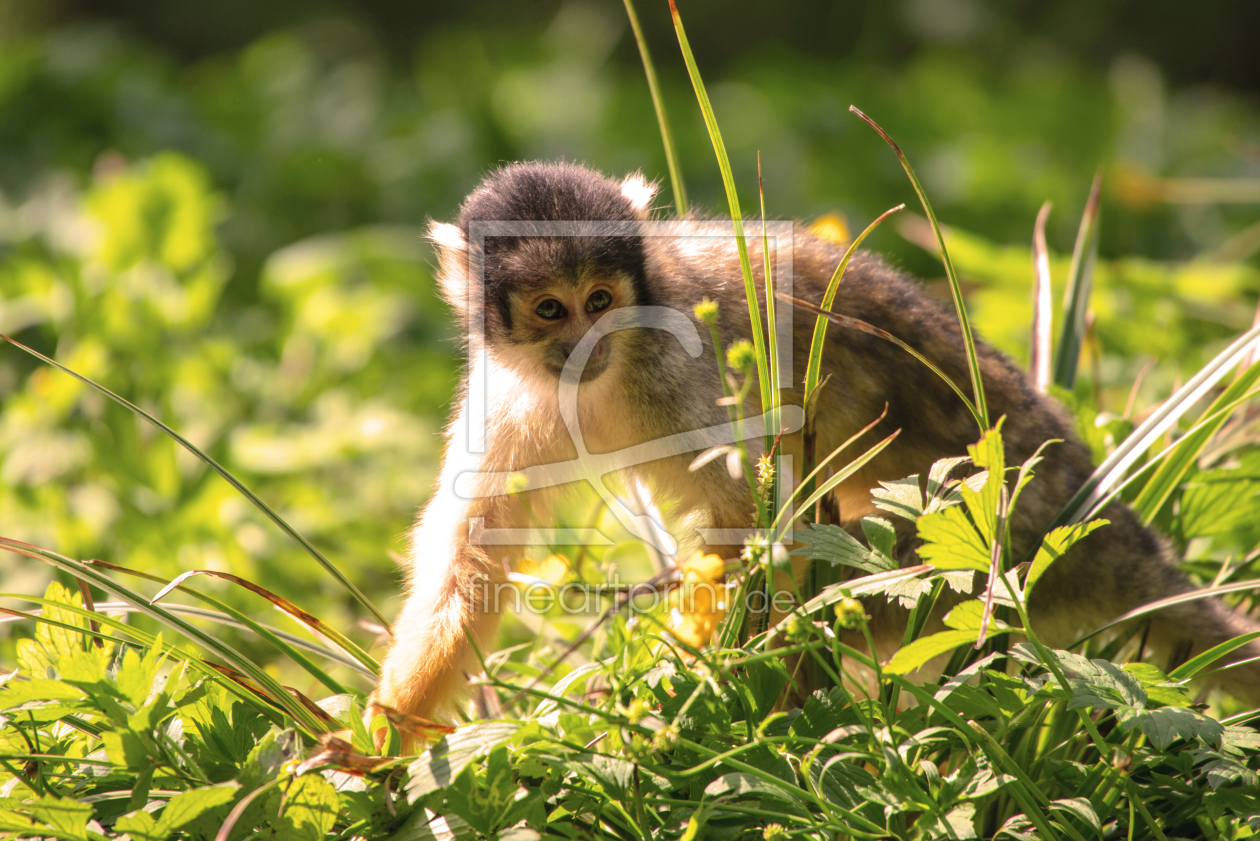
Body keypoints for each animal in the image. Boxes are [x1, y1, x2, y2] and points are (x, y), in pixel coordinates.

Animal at [367, 161, 1260, 741]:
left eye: (601, 300)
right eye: (552, 309)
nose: (587, 342)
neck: (601, 379)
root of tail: (1104, 516)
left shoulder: (678, 362)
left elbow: (761, 520)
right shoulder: (510, 388)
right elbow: (474, 552)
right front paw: (390, 732)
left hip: (1004, 552)